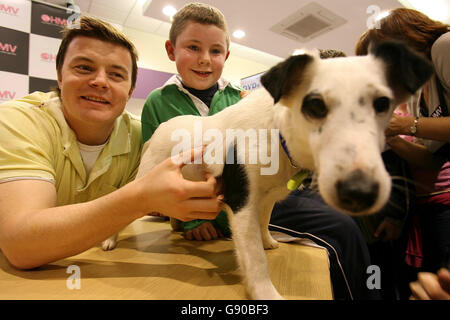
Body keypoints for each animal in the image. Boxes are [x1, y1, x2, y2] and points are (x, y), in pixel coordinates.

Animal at [133, 41, 432, 298]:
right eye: (315, 105)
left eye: (382, 104)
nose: (360, 192)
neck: (278, 133)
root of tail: (160, 129)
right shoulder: (242, 203)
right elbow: (254, 257)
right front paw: (265, 291)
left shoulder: (267, 198)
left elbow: (264, 223)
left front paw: (268, 241)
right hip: (148, 175)